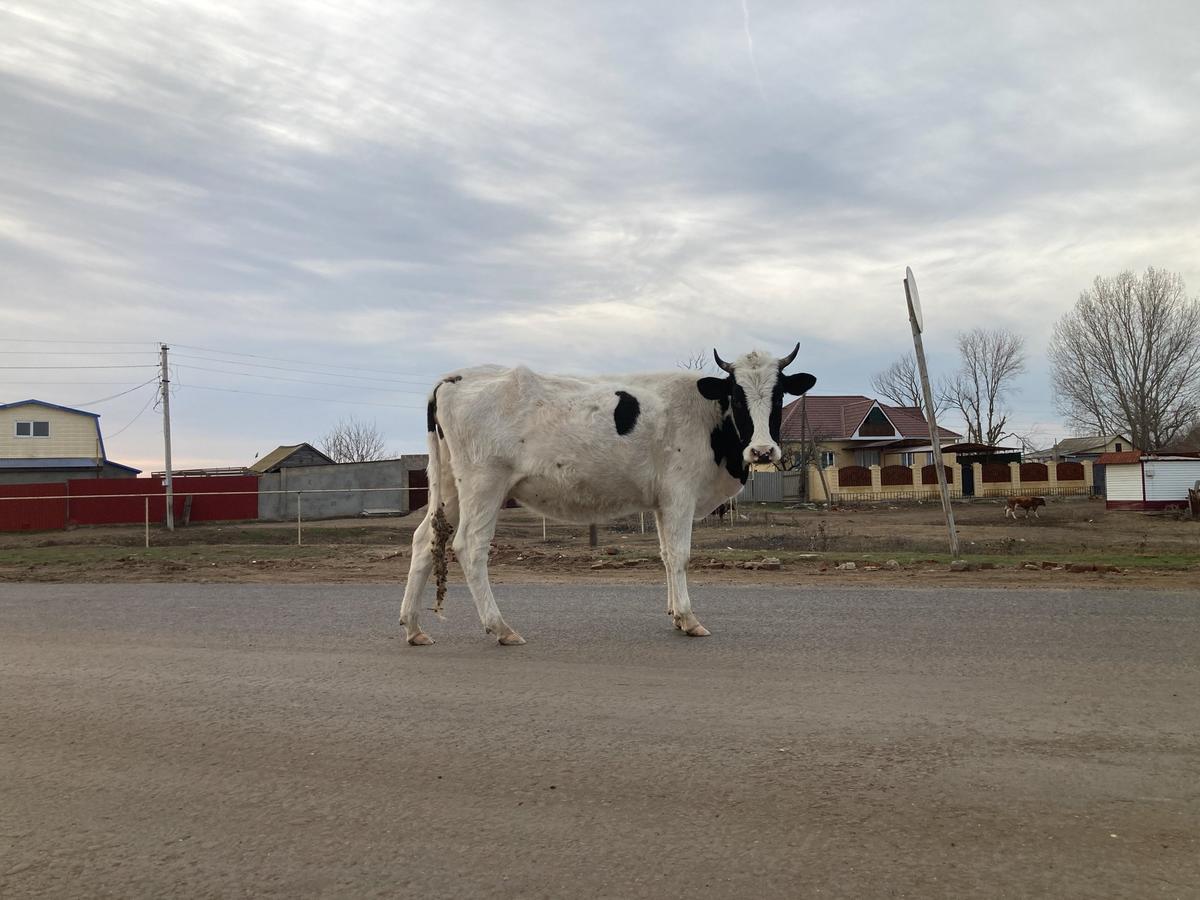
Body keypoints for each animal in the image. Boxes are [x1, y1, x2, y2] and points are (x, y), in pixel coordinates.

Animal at [400, 340, 816, 643]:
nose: (762, 451)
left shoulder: (662, 502)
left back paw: (414, 627)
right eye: (736, 395)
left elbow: (665, 555)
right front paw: (688, 617)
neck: (707, 418)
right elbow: (680, 555)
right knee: (470, 546)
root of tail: (453, 377)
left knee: (423, 540)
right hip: (483, 483)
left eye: (779, 394)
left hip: (450, 486)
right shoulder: (679, 495)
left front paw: (674, 615)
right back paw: (500, 627)